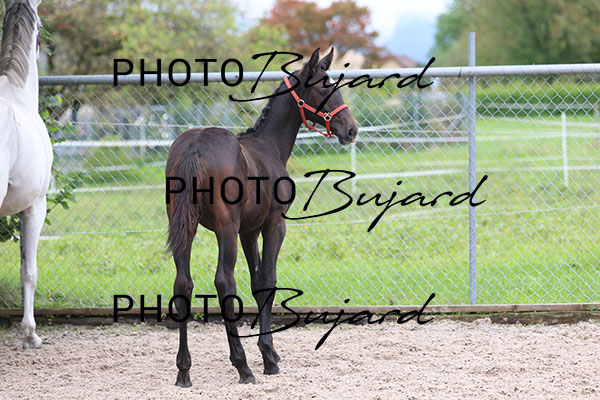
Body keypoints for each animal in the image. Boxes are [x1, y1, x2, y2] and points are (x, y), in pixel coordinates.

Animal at [165, 47, 358, 386]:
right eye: (324, 88)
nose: (351, 129)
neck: (267, 146)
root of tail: (194, 148)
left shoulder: (249, 231)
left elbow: (256, 282)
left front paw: (270, 351)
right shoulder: (273, 225)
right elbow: (268, 279)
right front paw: (268, 356)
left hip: (184, 227)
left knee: (183, 284)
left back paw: (184, 370)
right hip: (225, 229)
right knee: (224, 281)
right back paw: (243, 367)